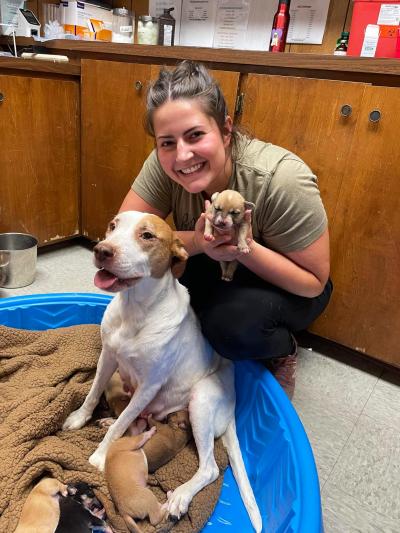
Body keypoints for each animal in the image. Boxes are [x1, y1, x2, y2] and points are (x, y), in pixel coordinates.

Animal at [61, 210, 262, 528]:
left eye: (147, 236)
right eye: (112, 226)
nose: (102, 250)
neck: (135, 309)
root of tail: (232, 409)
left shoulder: (149, 386)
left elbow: (120, 425)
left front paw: (101, 454)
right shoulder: (108, 357)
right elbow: (92, 394)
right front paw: (80, 419)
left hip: (201, 401)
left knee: (209, 468)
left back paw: (180, 497)